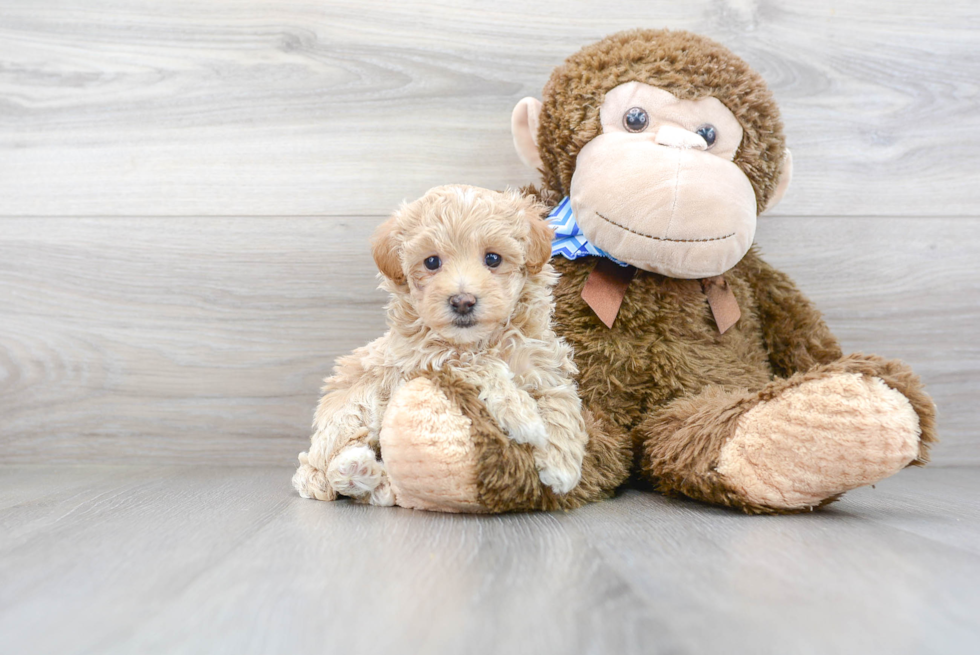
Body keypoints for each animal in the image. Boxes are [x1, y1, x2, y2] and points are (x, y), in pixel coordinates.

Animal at [292, 184, 588, 508]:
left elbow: (561, 400)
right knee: (330, 466)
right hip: (357, 406)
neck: (482, 340)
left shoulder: (543, 362)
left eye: (493, 259)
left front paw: (562, 465)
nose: (462, 301)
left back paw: (372, 477)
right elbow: (480, 365)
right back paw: (354, 469)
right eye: (431, 262)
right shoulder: (426, 358)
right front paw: (522, 416)